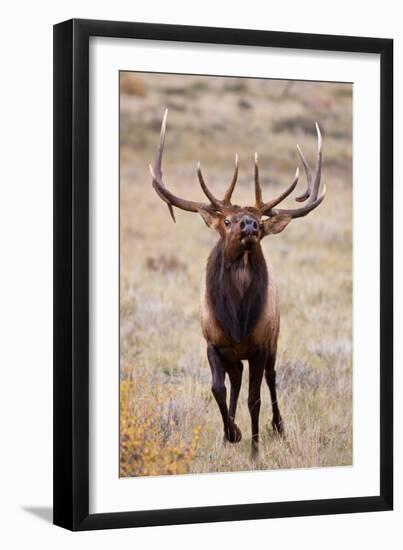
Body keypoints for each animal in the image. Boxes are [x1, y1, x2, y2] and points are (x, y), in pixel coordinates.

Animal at [150, 109, 326, 458]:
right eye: (228, 221)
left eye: (259, 222)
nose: (249, 225)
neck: (237, 319)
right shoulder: (213, 343)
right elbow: (218, 388)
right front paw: (232, 433)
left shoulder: (260, 344)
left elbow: (254, 399)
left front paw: (255, 448)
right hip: (234, 354)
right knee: (235, 380)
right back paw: (228, 433)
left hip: (274, 337)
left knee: (270, 378)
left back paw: (278, 427)